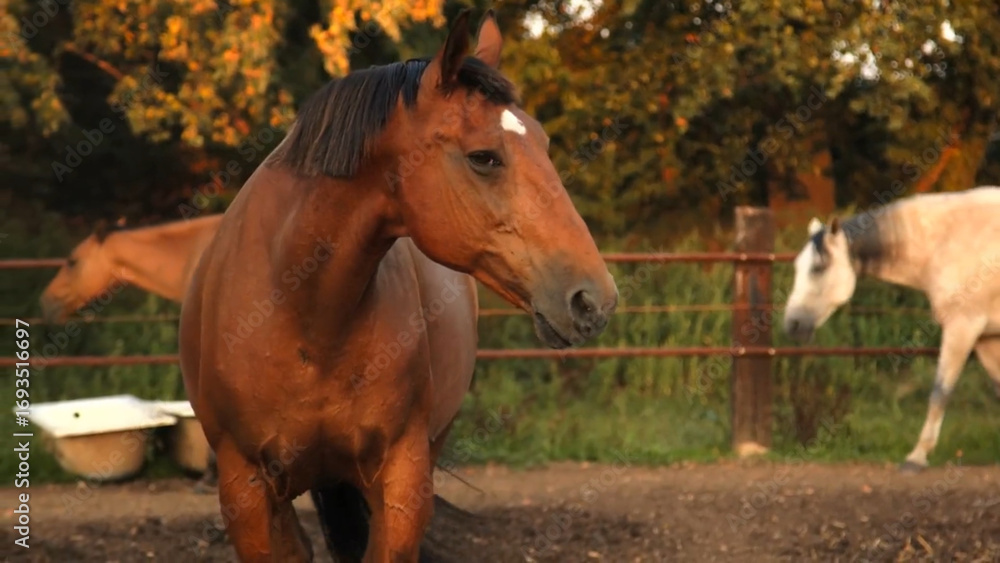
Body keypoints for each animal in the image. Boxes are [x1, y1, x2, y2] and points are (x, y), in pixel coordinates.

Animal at [177, 10, 619, 562]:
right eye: (483, 157)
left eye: (542, 144)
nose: (594, 299)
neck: (303, 313)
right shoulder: (247, 490)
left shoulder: (402, 481)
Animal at [782, 186, 1000, 473]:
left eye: (818, 268)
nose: (792, 324)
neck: (951, 240)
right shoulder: (986, 338)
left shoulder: (962, 328)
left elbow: (939, 392)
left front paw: (916, 458)